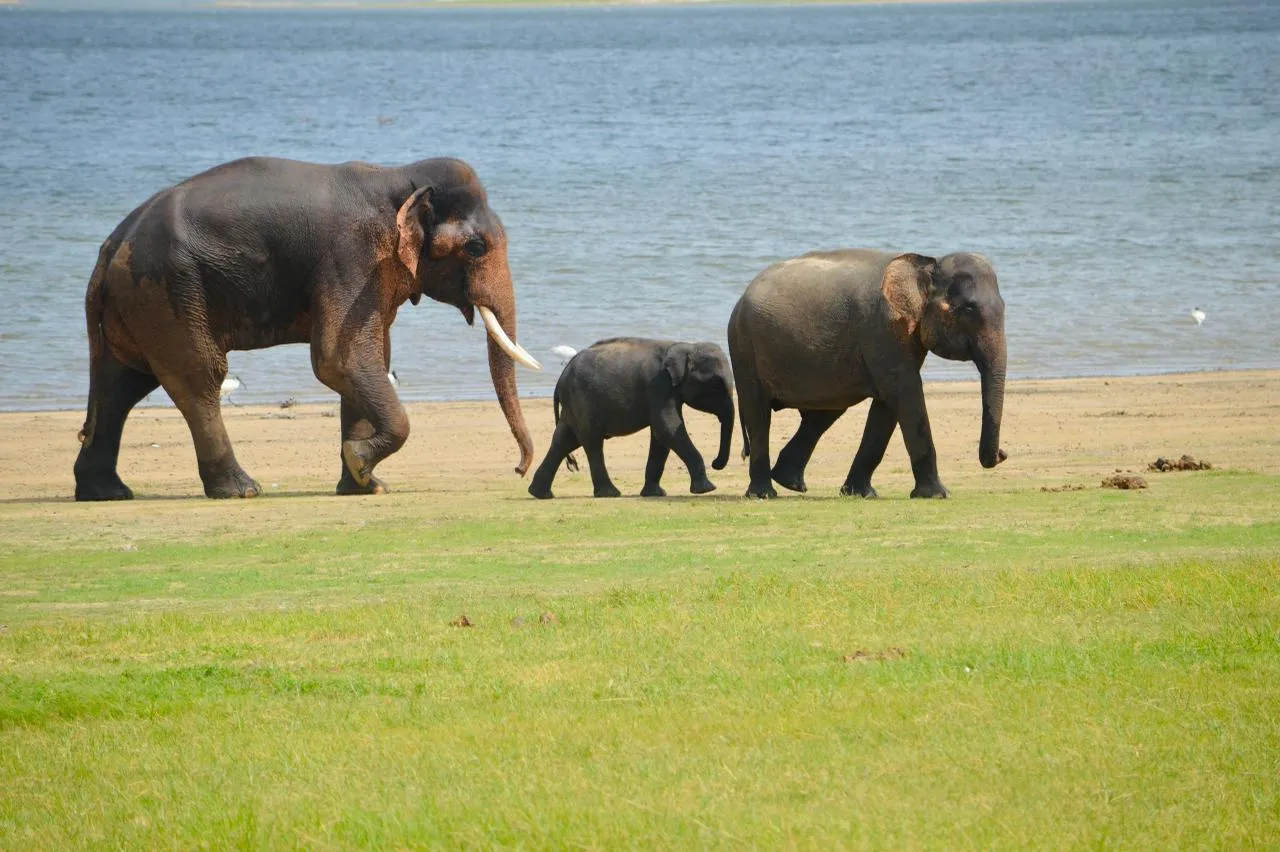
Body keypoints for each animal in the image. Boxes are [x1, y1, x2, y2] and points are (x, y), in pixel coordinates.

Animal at [73, 156, 542, 501]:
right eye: (477, 246)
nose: (518, 469)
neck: (397, 176)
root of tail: (109, 249)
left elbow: (370, 358)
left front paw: (365, 484)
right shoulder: (351, 257)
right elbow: (340, 359)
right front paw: (360, 463)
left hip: (136, 303)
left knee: (121, 384)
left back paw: (106, 492)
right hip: (168, 292)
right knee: (198, 377)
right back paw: (241, 490)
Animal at [528, 338, 735, 499]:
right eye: (716, 386)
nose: (715, 463)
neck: (685, 345)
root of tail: (560, 380)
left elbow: (661, 437)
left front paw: (655, 494)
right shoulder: (659, 386)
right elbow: (667, 428)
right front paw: (707, 489)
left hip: (574, 405)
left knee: (564, 441)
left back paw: (540, 494)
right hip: (581, 401)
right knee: (591, 442)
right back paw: (610, 493)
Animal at [727, 249, 1007, 499]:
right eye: (968, 310)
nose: (1002, 454)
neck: (926, 263)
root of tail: (741, 298)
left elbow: (886, 406)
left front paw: (861, 494)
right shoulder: (883, 329)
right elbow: (904, 393)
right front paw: (938, 495)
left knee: (825, 411)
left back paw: (790, 483)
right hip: (743, 347)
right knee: (758, 413)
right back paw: (763, 494)